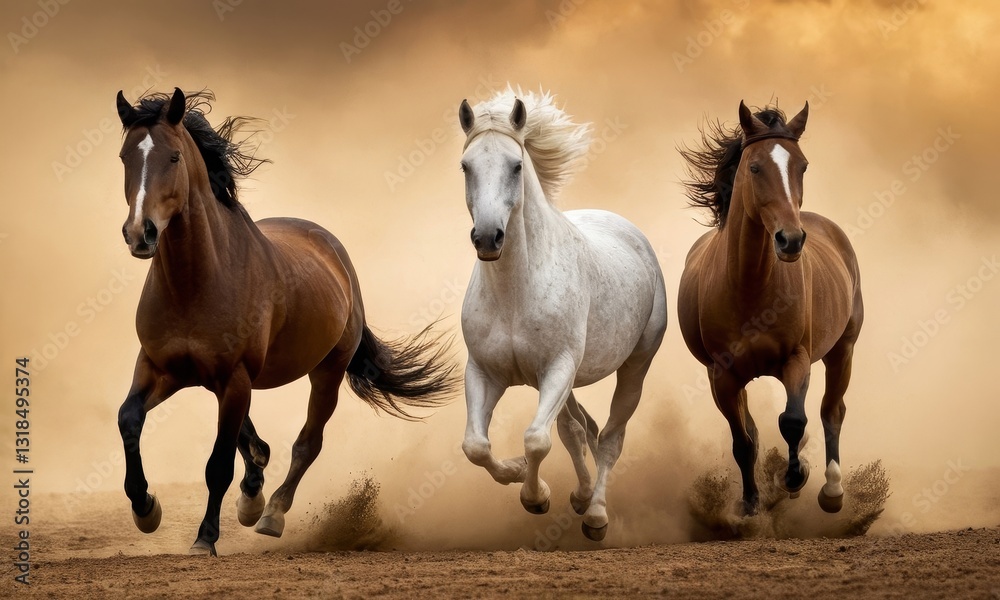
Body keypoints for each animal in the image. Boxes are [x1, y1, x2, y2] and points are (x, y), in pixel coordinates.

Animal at [114, 88, 458, 556]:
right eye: (125, 157)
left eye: (173, 157)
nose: (140, 233)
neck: (195, 283)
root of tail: (331, 248)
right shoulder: (158, 368)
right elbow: (129, 419)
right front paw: (146, 509)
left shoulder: (235, 378)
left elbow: (218, 465)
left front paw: (206, 539)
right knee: (256, 442)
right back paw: (253, 496)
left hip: (327, 373)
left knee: (306, 444)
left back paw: (271, 513)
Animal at [457, 88, 667, 541]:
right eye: (466, 166)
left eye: (516, 166)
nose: (488, 238)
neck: (516, 291)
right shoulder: (486, 372)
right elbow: (476, 447)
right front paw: (521, 475)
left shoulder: (558, 367)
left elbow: (537, 439)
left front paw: (536, 498)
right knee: (576, 431)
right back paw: (581, 496)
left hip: (633, 368)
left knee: (610, 438)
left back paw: (596, 515)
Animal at [677, 101, 863, 516]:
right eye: (755, 167)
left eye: (803, 165)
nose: (790, 240)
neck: (751, 287)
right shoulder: (722, 376)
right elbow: (744, 440)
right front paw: (749, 505)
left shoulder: (796, 359)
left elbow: (793, 420)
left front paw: (794, 477)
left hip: (843, 349)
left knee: (832, 411)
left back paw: (831, 492)